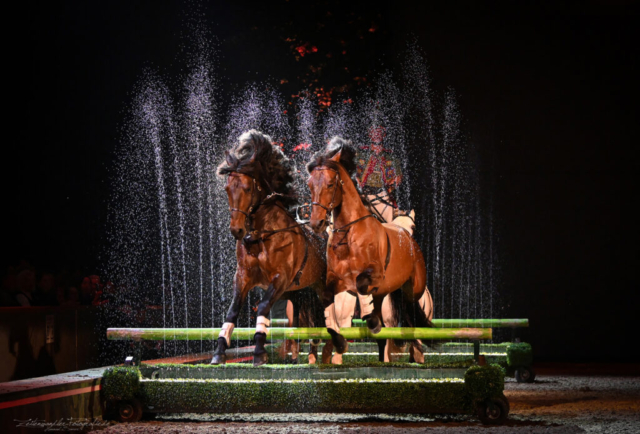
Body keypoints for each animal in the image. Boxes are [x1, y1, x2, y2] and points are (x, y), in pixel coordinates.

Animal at [212, 130, 332, 366]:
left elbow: (263, 307)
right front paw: (219, 351)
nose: (237, 230)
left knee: (325, 317)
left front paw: (259, 352)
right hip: (298, 292)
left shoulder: (280, 278)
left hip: (321, 287)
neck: (261, 234)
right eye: (227, 188)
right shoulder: (244, 276)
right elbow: (232, 311)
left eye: (248, 188)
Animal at [306, 136, 436, 362]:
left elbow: (361, 282)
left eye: (330, 184)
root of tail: (410, 242)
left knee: (411, 315)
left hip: (414, 289)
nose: (317, 223)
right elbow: (329, 306)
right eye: (310, 185)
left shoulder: (374, 274)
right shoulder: (335, 282)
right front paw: (340, 340)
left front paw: (370, 320)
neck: (349, 235)